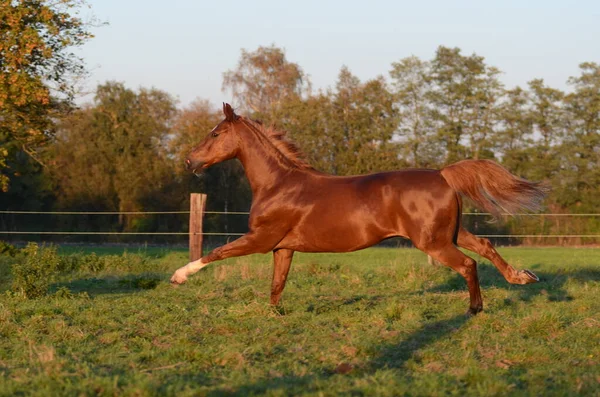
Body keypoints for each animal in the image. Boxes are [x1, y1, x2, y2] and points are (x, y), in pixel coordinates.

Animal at [171, 103, 548, 316]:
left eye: (216, 133)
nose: (190, 161)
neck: (278, 184)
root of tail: (442, 174)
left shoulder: (260, 239)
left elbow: (217, 252)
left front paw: (178, 277)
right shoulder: (283, 248)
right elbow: (277, 285)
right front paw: (275, 315)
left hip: (434, 242)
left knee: (468, 264)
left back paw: (475, 308)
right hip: (450, 233)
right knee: (484, 246)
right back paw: (521, 277)